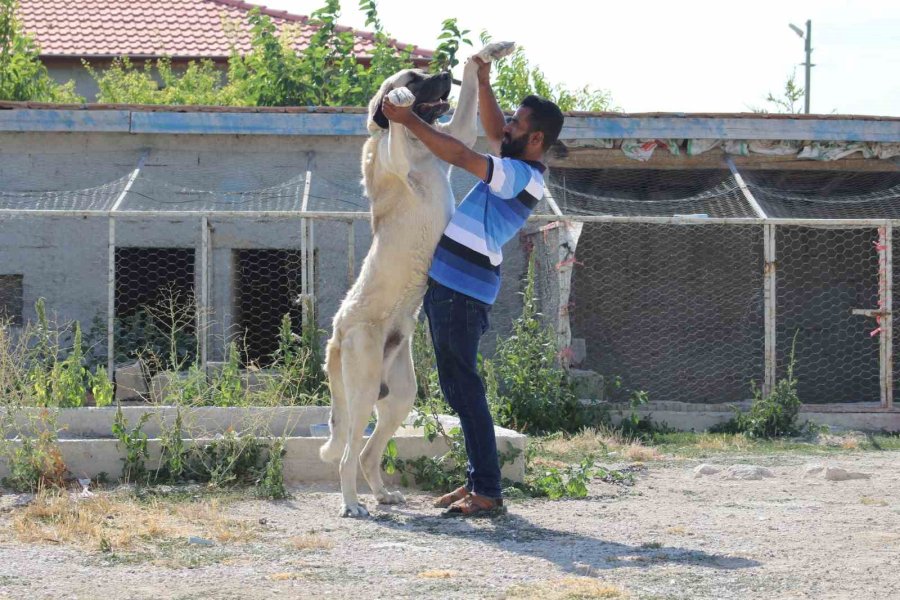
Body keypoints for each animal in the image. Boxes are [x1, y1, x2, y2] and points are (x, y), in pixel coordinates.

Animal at [318, 43, 512, 520]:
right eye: (412, 78)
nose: (441, 72)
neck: (421, 147)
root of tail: (337, 331)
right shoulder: (398, 157)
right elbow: (394, 136)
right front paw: (398, 104)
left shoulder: (458, 136)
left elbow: (465, 105)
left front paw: (486, 55)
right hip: (363, 389)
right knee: (348, 455)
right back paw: (352, 504)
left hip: (399, 396)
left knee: (367, 453)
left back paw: (382, 495)